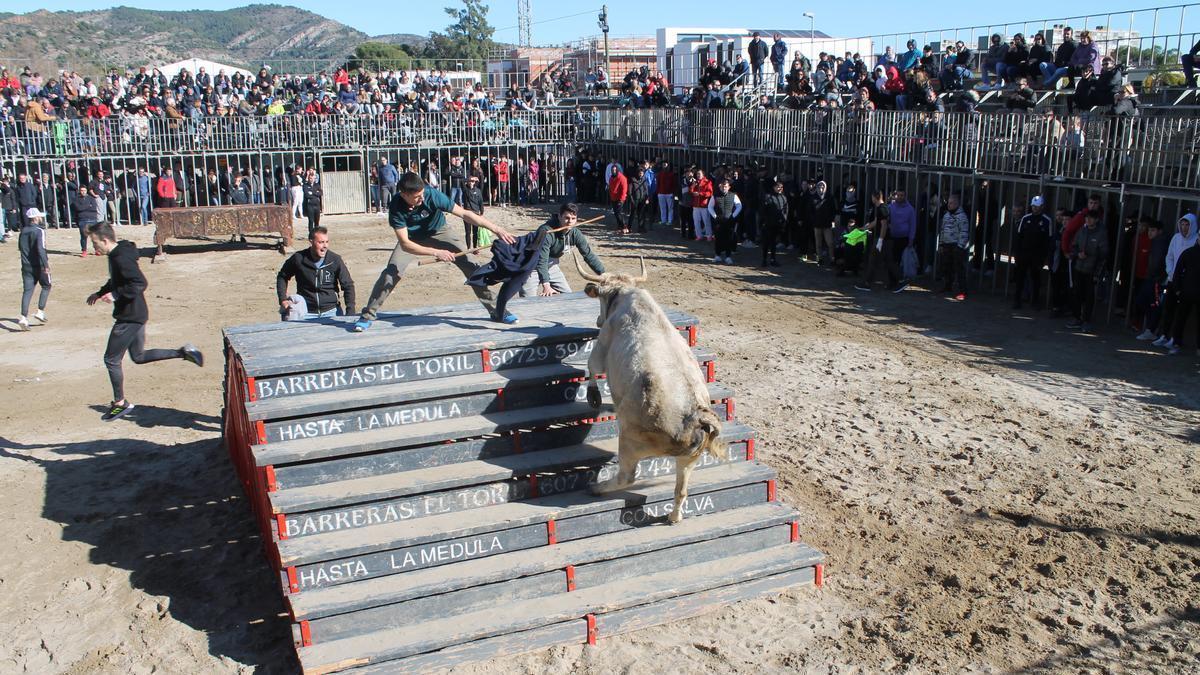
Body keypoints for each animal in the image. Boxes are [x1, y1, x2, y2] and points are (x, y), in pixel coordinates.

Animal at [573, 252, 724, 521]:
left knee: (627, 476)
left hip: (629, 441)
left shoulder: (602, 346)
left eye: (600, 297)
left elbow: (592, 366)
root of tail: (696, 416)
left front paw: (593, 397)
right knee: (681, 490)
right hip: (689, 460)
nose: (598, 320)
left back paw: (597, 488)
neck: (624, 293)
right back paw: (674, 517)